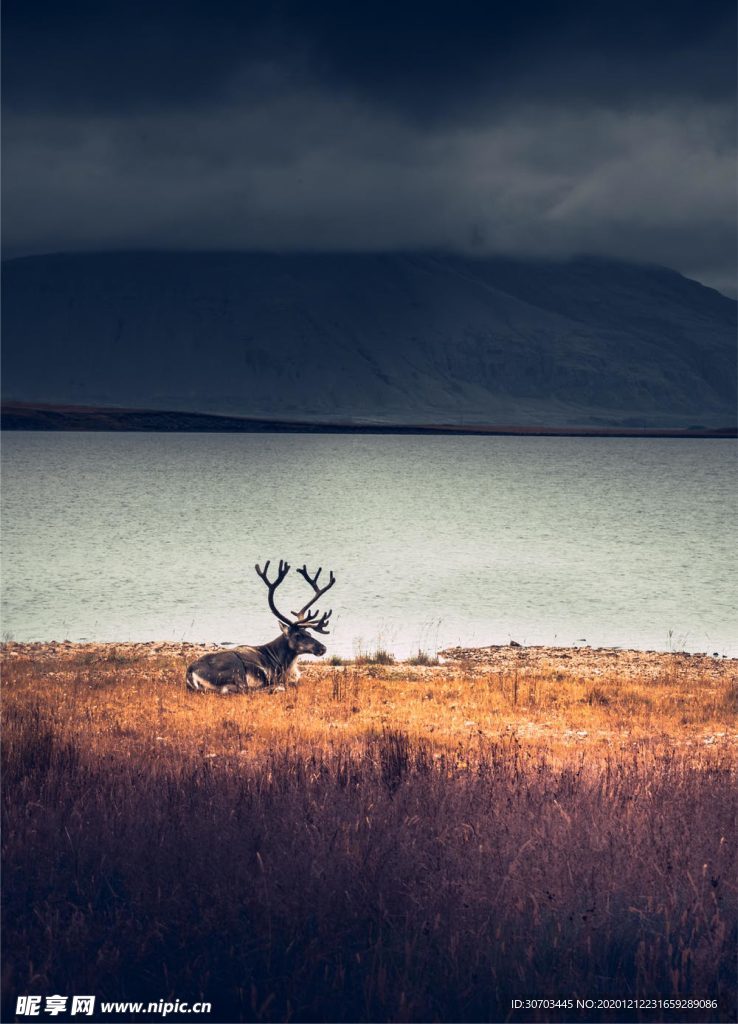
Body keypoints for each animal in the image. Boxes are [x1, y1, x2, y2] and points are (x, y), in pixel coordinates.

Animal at [186, 560, 336, 694]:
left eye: (310, 634)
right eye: (298, 635)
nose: (323, 648)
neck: (282, 661)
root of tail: (190, 673)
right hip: (236, 668)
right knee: (246, 690)